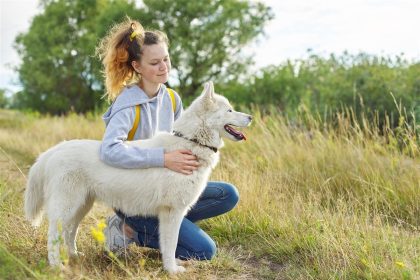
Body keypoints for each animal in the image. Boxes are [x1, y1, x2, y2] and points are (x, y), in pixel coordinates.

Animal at [24, 81, 253, 274]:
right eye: (229, 110)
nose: (250, 117)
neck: (192, 142)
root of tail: (54, 150)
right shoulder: (172, 212)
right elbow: (171, 244)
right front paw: (172, 270)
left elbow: (168, 244)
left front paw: (171, 265)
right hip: (67, 206)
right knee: (53, 234)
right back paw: (56, 265)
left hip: (81, 206)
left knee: (69, 231)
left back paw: (74, 255)